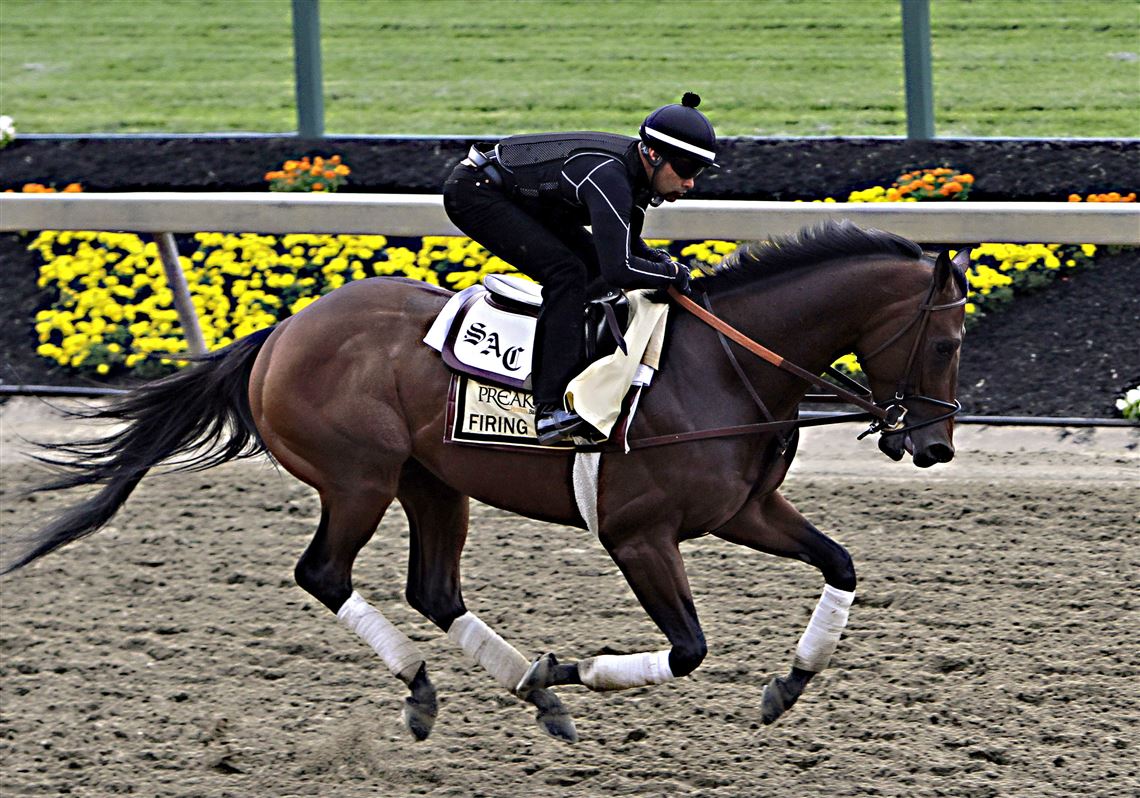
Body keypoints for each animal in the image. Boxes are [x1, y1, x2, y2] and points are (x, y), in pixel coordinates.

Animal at [3, 220, 969, 744]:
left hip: (434, 483)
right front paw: (569, 667)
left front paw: (790, 684)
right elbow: (689, 648)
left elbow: (840, 564)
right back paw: (446, 686)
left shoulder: (746, 509)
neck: (721, 371)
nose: (932, 446)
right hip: (359, 479)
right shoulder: (639, 536)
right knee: (325, 573)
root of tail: (282, 332)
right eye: (948, 342)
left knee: (433, 588)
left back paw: (522, 690)